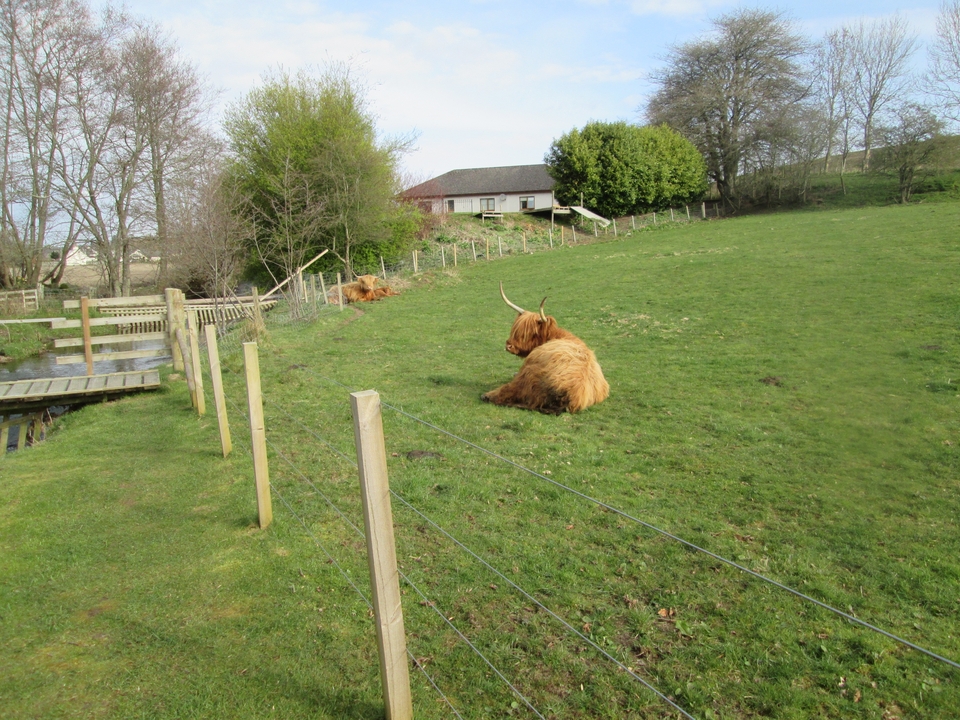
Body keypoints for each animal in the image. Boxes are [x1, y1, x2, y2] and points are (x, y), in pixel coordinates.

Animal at [482, 283, 609, 414]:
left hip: (528, 372)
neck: (556, 336)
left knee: (509, 389)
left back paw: (487, 395)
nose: (509, 346)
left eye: (531, 333)